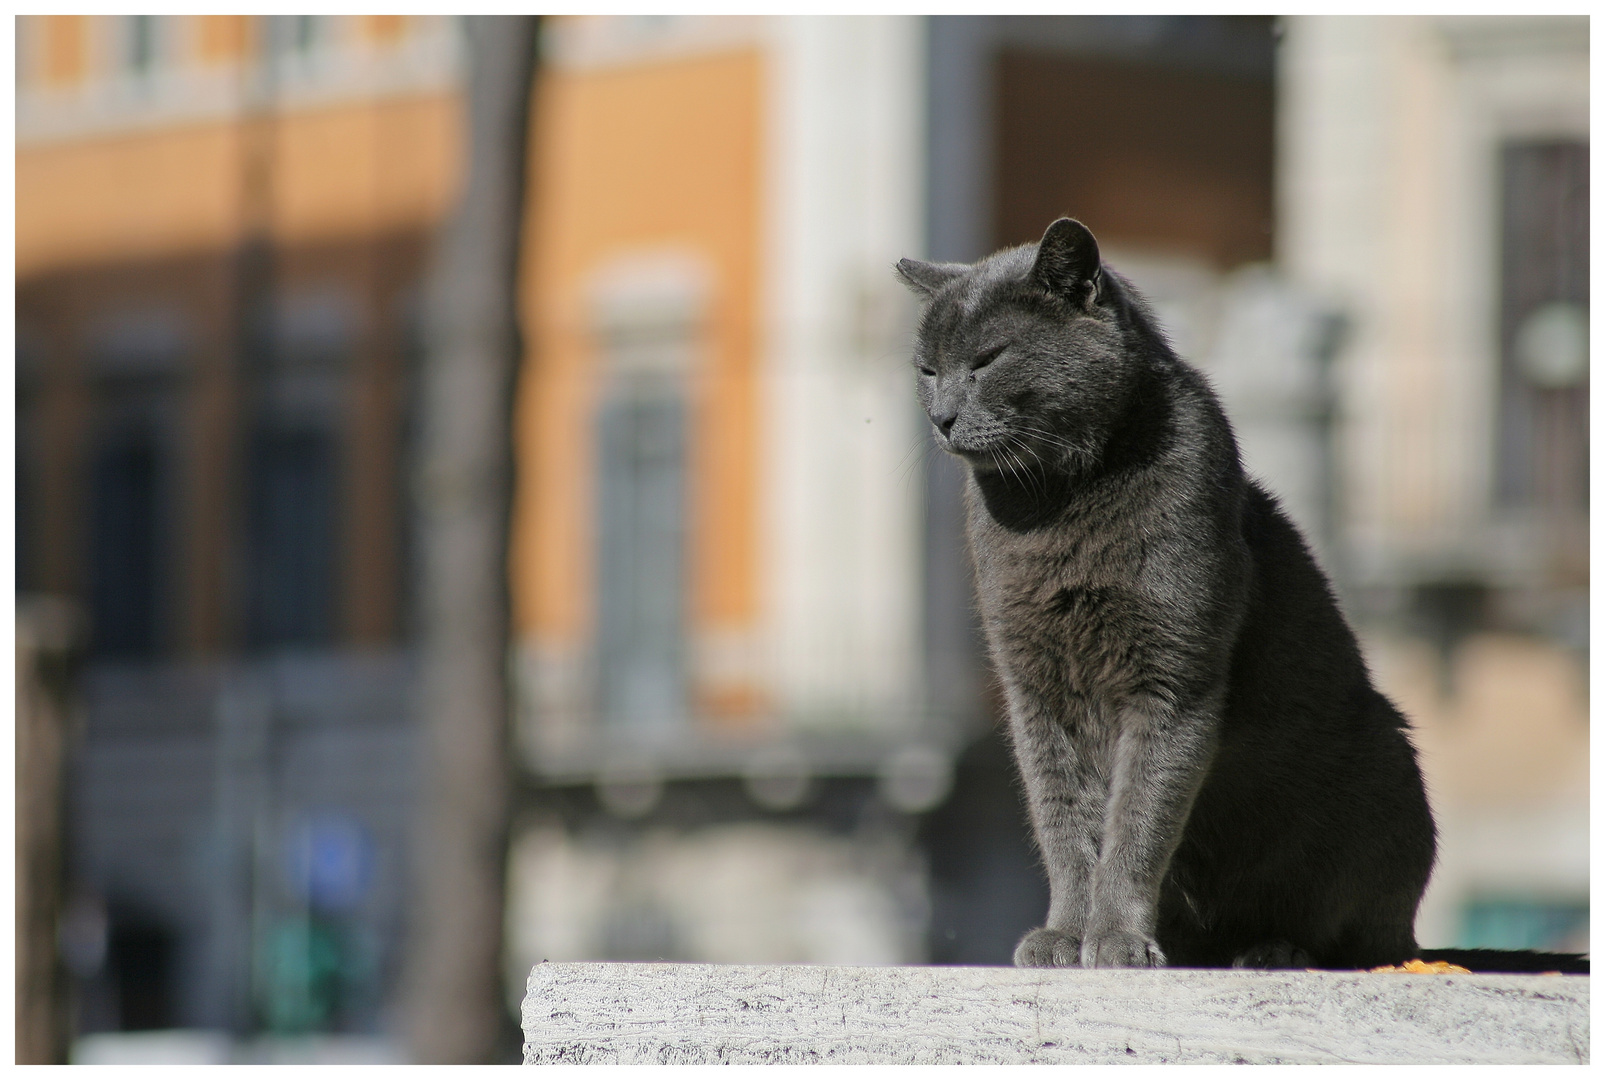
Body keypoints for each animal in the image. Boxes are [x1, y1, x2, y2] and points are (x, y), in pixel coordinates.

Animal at [898, 218, 1438, 969]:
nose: (941, 416)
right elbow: (1063, 823)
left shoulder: (1172, 678)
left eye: (986, 359)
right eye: (926, 369)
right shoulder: (1032, 691)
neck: (1056, 502)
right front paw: (1065, 935)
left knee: (1355, 935)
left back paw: (1272, 951)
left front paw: (1117, 940)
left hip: (1383, 762)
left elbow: (1137, 821)